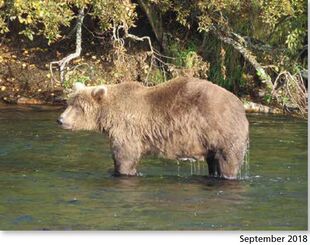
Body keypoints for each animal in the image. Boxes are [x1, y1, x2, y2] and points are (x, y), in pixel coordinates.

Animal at [57, 76, 248, 180]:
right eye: (69, 102)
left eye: (78, 107)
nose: (60, 119)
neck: (108, 115)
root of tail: (240, 105)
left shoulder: (127, 130)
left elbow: (125, 156)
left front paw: (122, 171)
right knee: (213, 161)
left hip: (221, 130)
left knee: (227, 161)